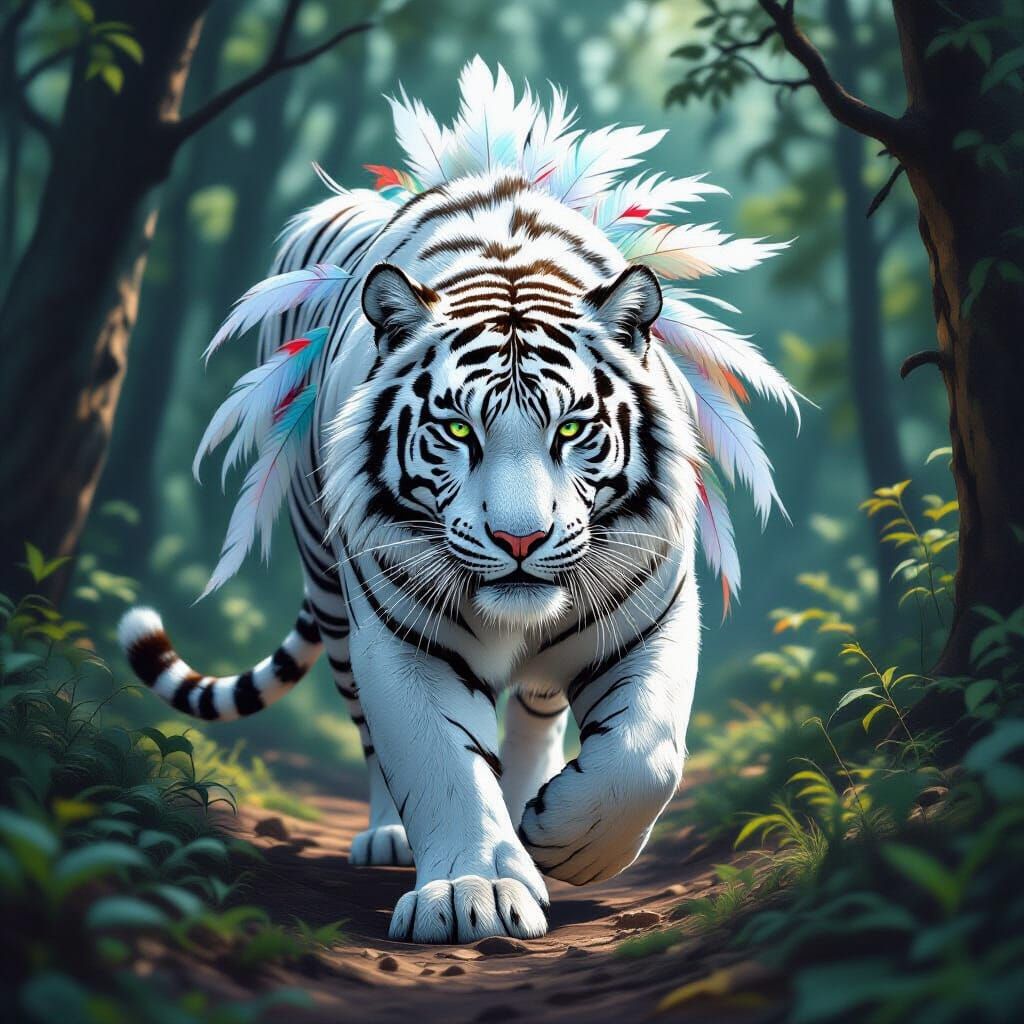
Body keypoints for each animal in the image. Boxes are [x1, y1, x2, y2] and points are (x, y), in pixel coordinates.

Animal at [119, 59, 794, 944]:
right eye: (457, 429)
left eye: (572, 426)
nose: (519, 540)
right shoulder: (405, 637)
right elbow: (439, 762)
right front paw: (473, 892)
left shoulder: (650, 615)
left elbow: (643, 757)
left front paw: (566, 841)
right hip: (333, 594)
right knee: (372, 732)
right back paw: (392, 835)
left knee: (539, 711)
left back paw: (531, 805)